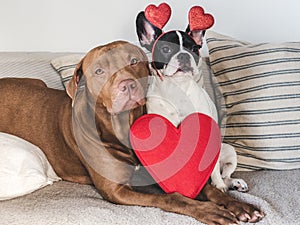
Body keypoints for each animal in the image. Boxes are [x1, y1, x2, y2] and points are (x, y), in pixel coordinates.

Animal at [0, 41, 262, 224]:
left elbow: (206, 187)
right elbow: (172, 196)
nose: (126, 85)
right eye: (99, 71)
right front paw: (210, 211)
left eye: (134, 60)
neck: (122, 127)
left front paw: (237, 205)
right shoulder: (116, 190)